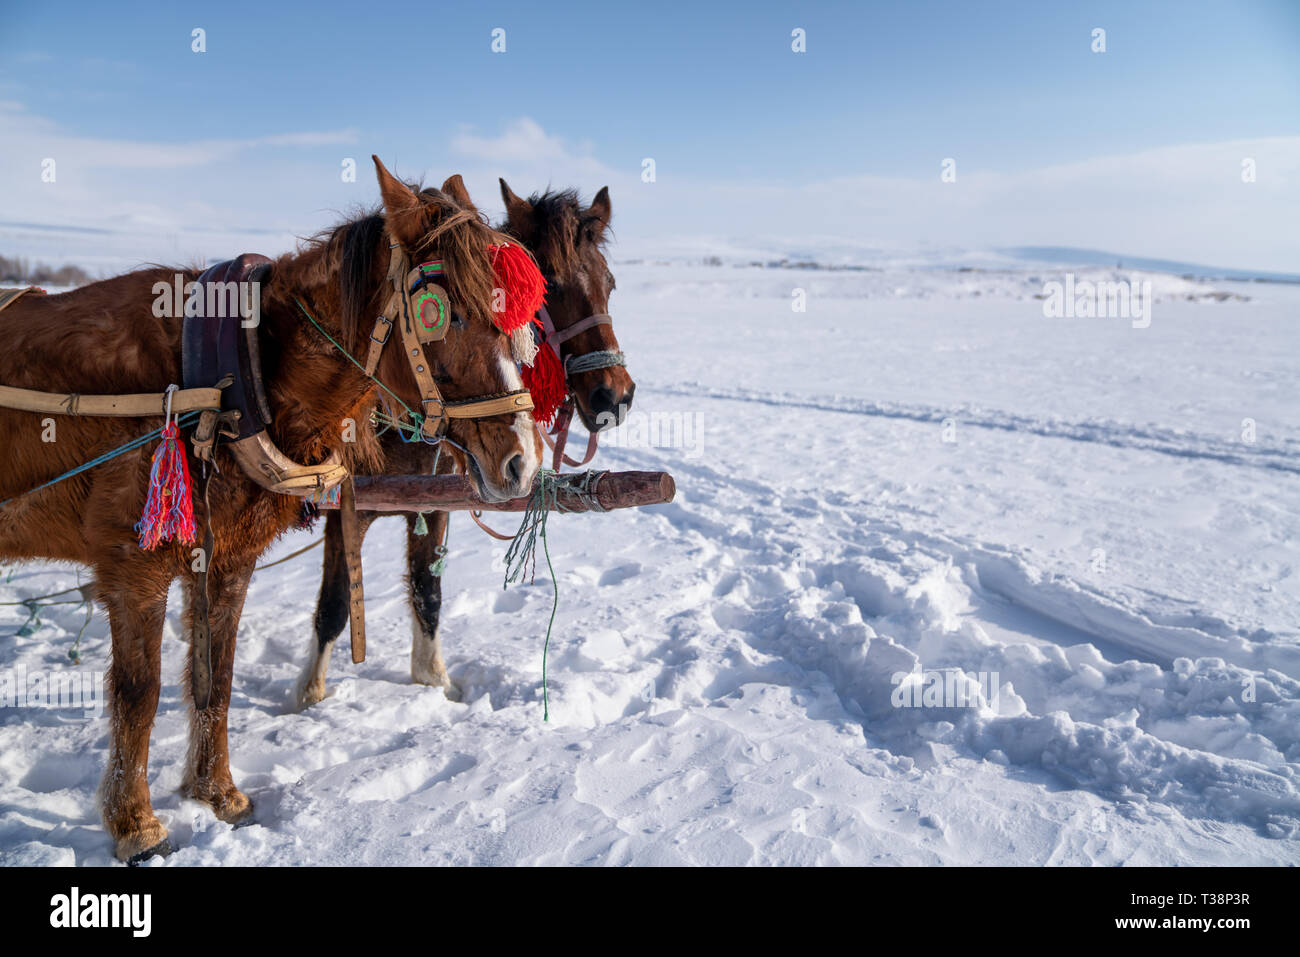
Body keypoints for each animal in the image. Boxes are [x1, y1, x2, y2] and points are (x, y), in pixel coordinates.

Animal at [0, 157, 538, 858]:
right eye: (443, 311)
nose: (522, 460)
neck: (230, 379)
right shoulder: (134, 567)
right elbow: (140, 694)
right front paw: (136, 825)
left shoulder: (226, 560)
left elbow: (218, 678)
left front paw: (218, 795)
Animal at [299, 180, 634, 702]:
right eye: (550, 285)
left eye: (610, 284)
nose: (614, 396)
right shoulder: (344, 511)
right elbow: (334, 604)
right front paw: (309, 696)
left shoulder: (434, 507)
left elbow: (427, 591)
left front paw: (433, 679)